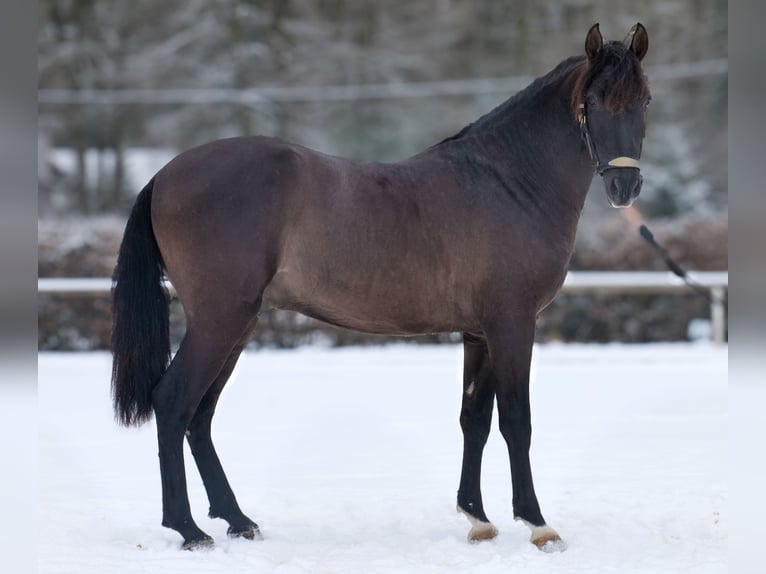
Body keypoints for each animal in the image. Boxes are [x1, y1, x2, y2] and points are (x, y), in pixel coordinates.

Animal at [111, 22, 650, 551]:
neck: (508, 182)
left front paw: (477, 518)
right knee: (175, 402)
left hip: (237, 326)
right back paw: (188, 529)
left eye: (644, 99)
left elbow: (473, 419)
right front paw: (538, 524)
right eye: (595, 100)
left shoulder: (478, 332)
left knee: (200, 415)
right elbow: (516, 420)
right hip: (220, 320)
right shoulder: (511, 324)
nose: (625, 187)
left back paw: (237, 520)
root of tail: (164, 175)